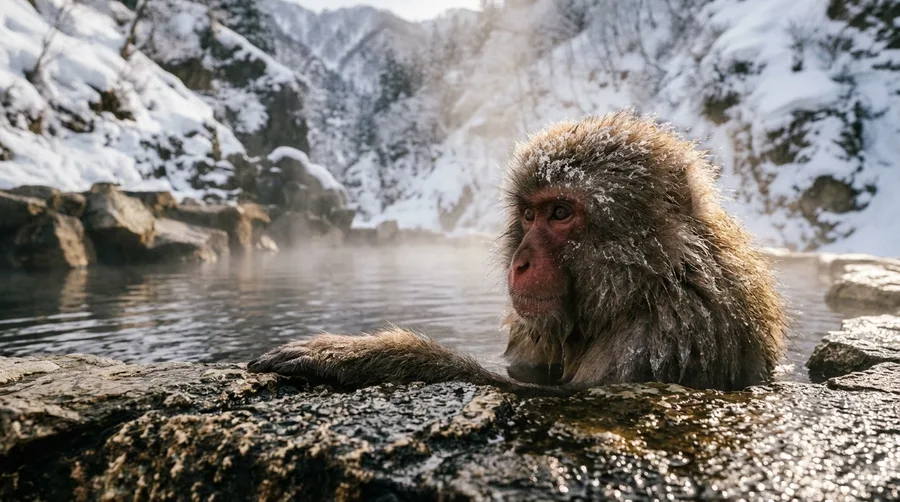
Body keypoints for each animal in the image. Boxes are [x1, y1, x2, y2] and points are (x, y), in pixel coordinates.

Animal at [248, 110, 787, 395]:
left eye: (561, 212)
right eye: (528, 215)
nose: (520, 261)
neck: (651, 284)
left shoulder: (666, 337)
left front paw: (363, 353)